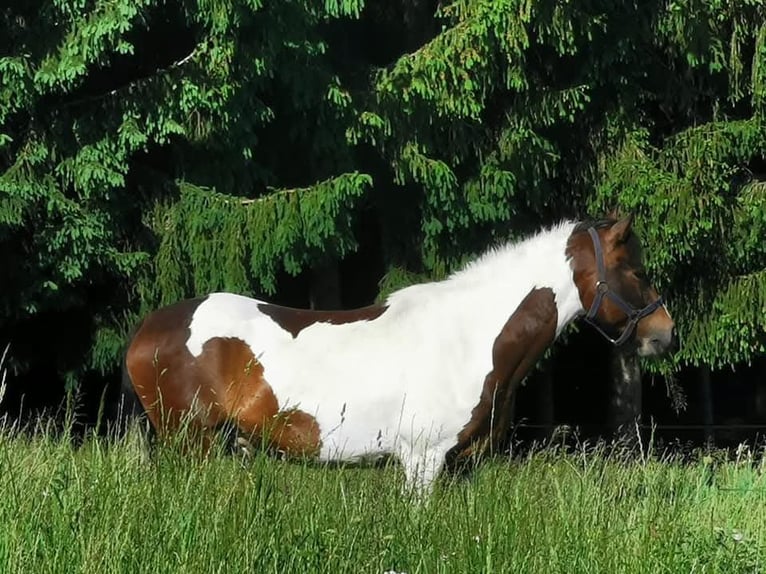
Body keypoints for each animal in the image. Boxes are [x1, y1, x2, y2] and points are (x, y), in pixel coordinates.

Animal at [123, 215, 677, 493]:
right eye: (635, 270)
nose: (665, 334)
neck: (470, 337)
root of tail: (146, 331)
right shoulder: (422, 461)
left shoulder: (460, 467)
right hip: (189, 443)